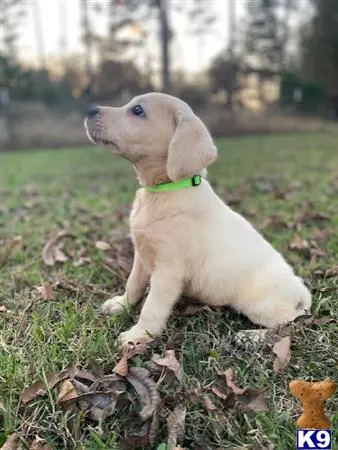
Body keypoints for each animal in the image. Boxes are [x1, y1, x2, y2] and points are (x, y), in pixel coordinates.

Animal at [85, 92, 312, 344]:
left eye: (137, 110)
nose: (89, 109)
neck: (164, 192)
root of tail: (303, 295)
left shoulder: (168, 271)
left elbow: (151, 307)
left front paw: (138, 335)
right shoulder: (141, 255)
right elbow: (133, 284)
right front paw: (121, 305)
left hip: (262, 306)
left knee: (287, 327)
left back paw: (251, 336)